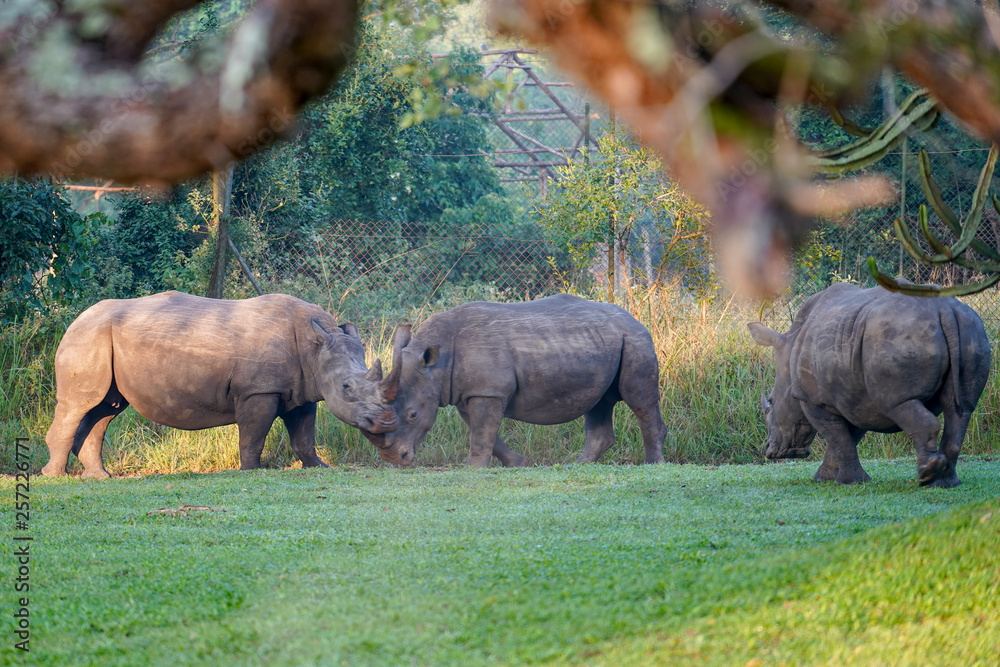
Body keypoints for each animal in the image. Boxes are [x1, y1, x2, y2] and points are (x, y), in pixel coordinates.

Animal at [43, 291, 400, 478]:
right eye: (347, 388)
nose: (388, 422)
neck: (316, 346)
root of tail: (75, 319)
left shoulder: (301, 390)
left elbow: (303, 436)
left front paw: (319, 467)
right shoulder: (259, 389)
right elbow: (254, 435)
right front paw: (252, 471)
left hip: (98, 339)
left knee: (105, 408)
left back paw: (99, 477)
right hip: (87, 338)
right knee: (80, 405)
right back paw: (54, 477)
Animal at [359, 294, 667, 467]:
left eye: (412, 415)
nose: (395, 460)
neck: (435, 363)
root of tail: (636, 319)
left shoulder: (487, 391)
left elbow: (481, 434)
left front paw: (472, 469)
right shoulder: (471, 392)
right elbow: (484, 433)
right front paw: (518, 463)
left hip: (634, 339)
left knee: (638, 400)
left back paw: (652, 465)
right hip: (603, 341)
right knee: (598, 402)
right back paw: (577, 466)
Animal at [748, 283, 990, 487]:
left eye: (771, 402)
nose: (772, 451)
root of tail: (945, 310)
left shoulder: (813, 399)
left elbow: (836, 436)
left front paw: (847, 482)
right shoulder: (855, 397)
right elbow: (846, 438)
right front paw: (827, 478)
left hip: (900, 335)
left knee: (899, 403)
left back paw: (925, 476)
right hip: (972, 330)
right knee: (960, 410)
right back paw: (945, 482)